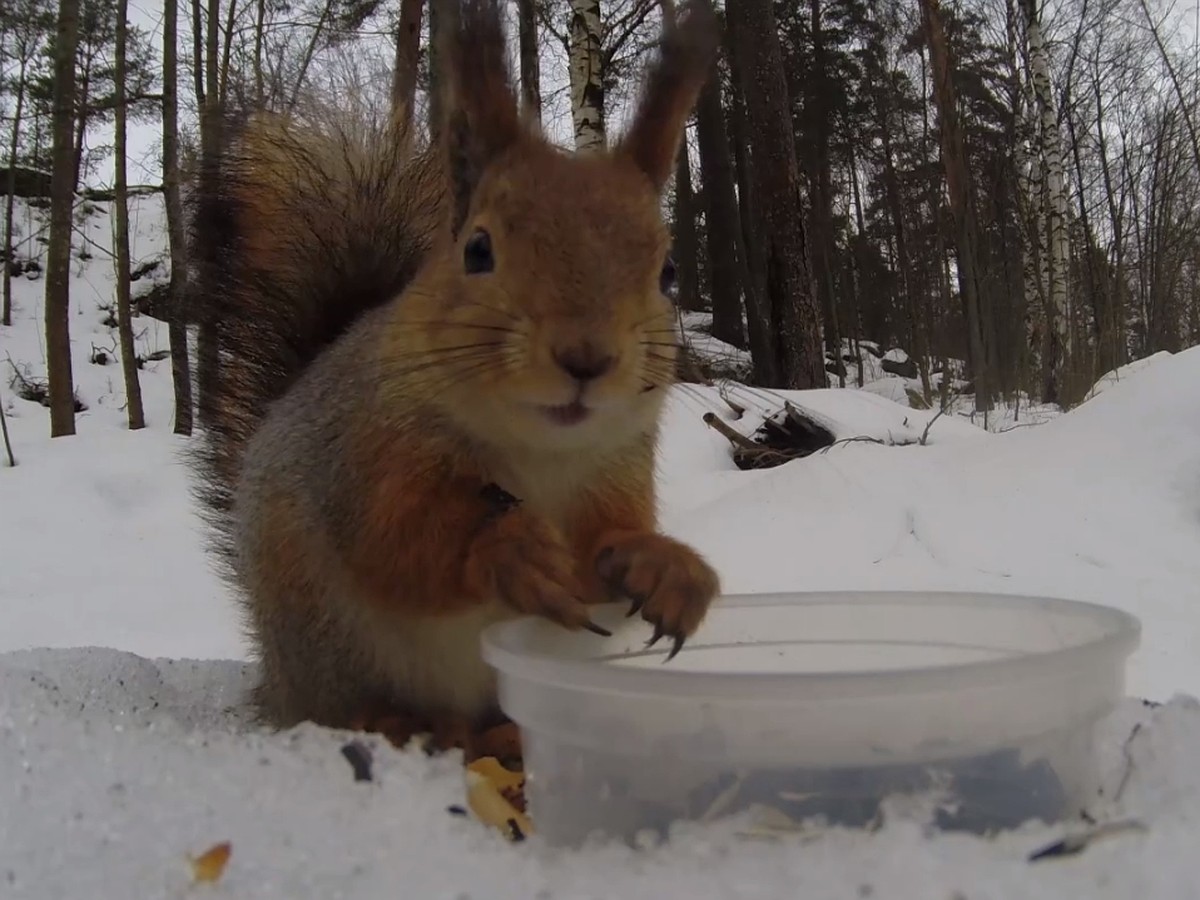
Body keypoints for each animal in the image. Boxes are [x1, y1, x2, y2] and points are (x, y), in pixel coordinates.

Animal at [189, 0, 720, 763]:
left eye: (668, 272)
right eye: (477, 248)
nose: (586, 358)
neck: (539, 452)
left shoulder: (615, 471)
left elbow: (611, 541)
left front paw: (667, 568)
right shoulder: (362, 454)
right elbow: (393, 541)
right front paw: (507, 550)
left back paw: (503, 732)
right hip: (319, 632)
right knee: (340, 704)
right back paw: (396, 722)